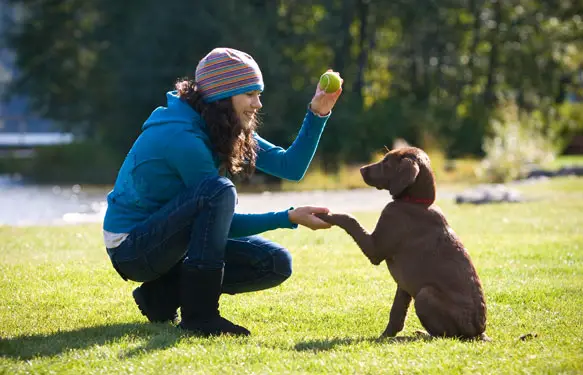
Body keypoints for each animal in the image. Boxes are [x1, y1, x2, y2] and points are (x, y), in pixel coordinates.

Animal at [318, 147, 490, 340]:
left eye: (386, 161)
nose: (361, 169)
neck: (416, 203)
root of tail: (479, 332)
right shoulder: (404, 285)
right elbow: (397, 313)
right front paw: (386, 336)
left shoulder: (375, 249)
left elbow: (350, 219)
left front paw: (325, 214)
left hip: (424, 294)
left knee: (445, 335)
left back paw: (424, 334)